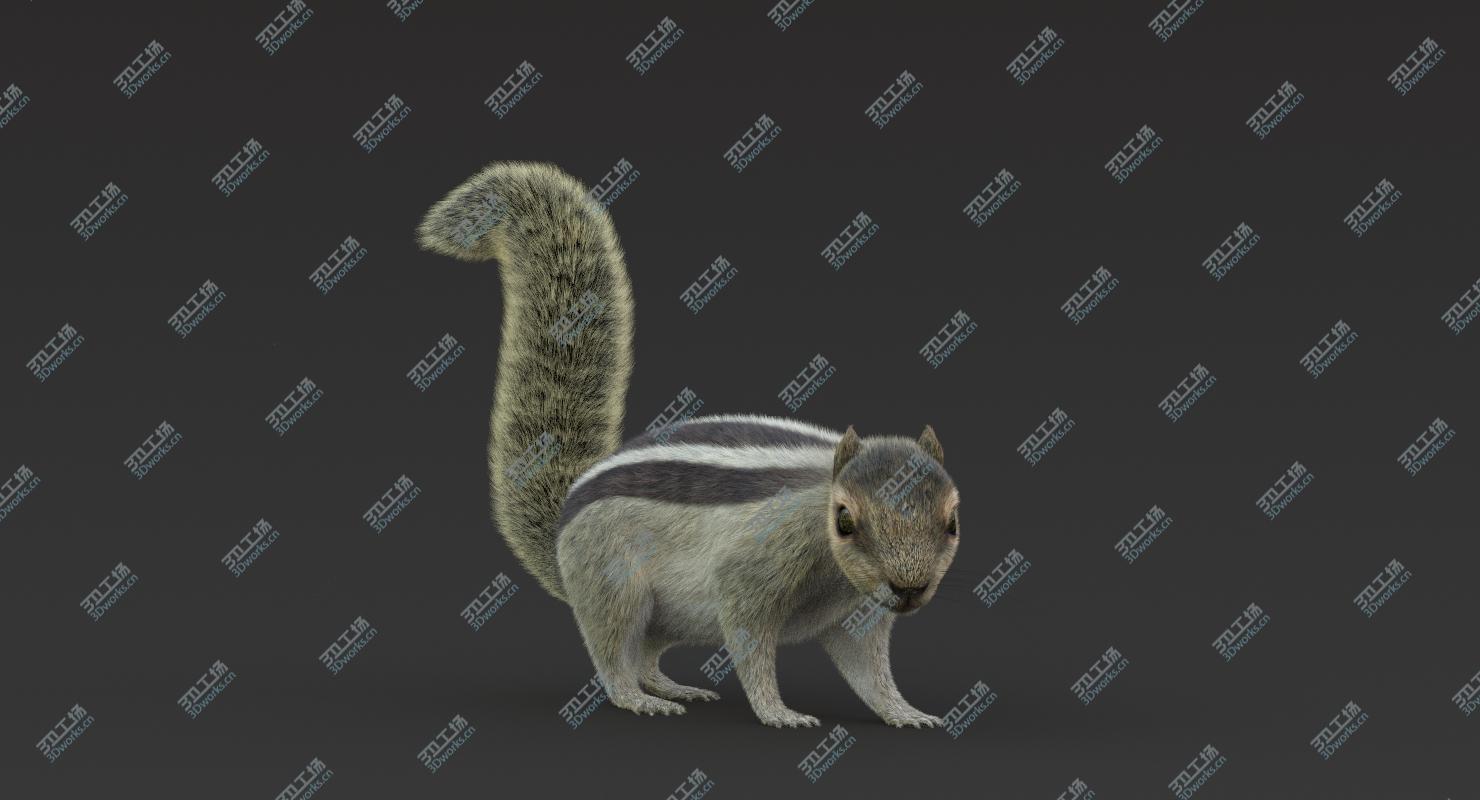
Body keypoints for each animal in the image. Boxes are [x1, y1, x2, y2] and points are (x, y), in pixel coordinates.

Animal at [416, 162, 961, 728]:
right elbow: (750, 638)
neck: (833, 572)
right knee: (613, 651)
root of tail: (566, 517)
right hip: (613, 581)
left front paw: (905, 712)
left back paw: (671, 687)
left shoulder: (856, 610)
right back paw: (640, 699)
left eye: (952, 523)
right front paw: (778, 712)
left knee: (647, 652)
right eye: (845, 521)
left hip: (669, 615)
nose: (908, 590)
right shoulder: (752, 569)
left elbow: (867, 667)